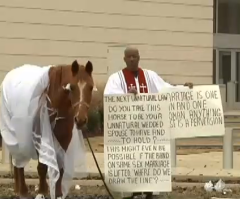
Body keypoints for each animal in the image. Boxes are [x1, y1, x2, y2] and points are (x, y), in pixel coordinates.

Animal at [0, 60, 94, 199]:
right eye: (71, 87)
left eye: (91, 87)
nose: (80, 119)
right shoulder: (39, 137)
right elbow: (42, 167)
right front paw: (42, 192)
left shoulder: (64, 140)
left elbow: (61, 167)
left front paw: (59, 194)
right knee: (18, 161)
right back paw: (22, 191)